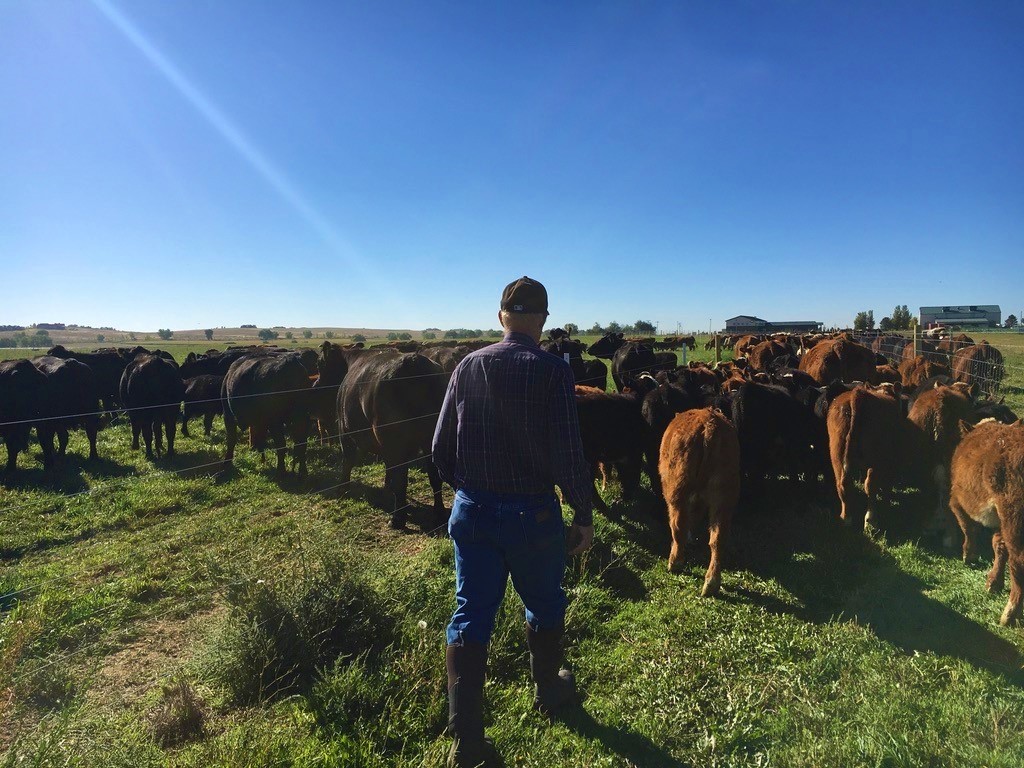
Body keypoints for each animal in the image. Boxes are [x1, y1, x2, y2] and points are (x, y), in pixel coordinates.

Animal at [337, 354, 446, 528]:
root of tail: (413, 360)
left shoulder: (344, 429)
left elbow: (347, 459)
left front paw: (343, 488)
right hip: (430, 439)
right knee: (434, 475)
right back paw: (439, 512)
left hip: (395, 442)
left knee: (400, 480)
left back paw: (397, 519)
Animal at [659, 405, 741, 598]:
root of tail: (709, 424)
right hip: (724, 496)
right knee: (718, 537)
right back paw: (712, 583)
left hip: (677, 490)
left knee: (678, 526)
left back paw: (675, 562)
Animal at [946, 421, 1024, 626]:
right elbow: (998, 545)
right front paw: (993, 582)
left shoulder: (956, 501)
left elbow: (968, 528)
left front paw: (968, 555)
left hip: (1013, 519)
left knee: (1018, 562)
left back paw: (1009, 615)